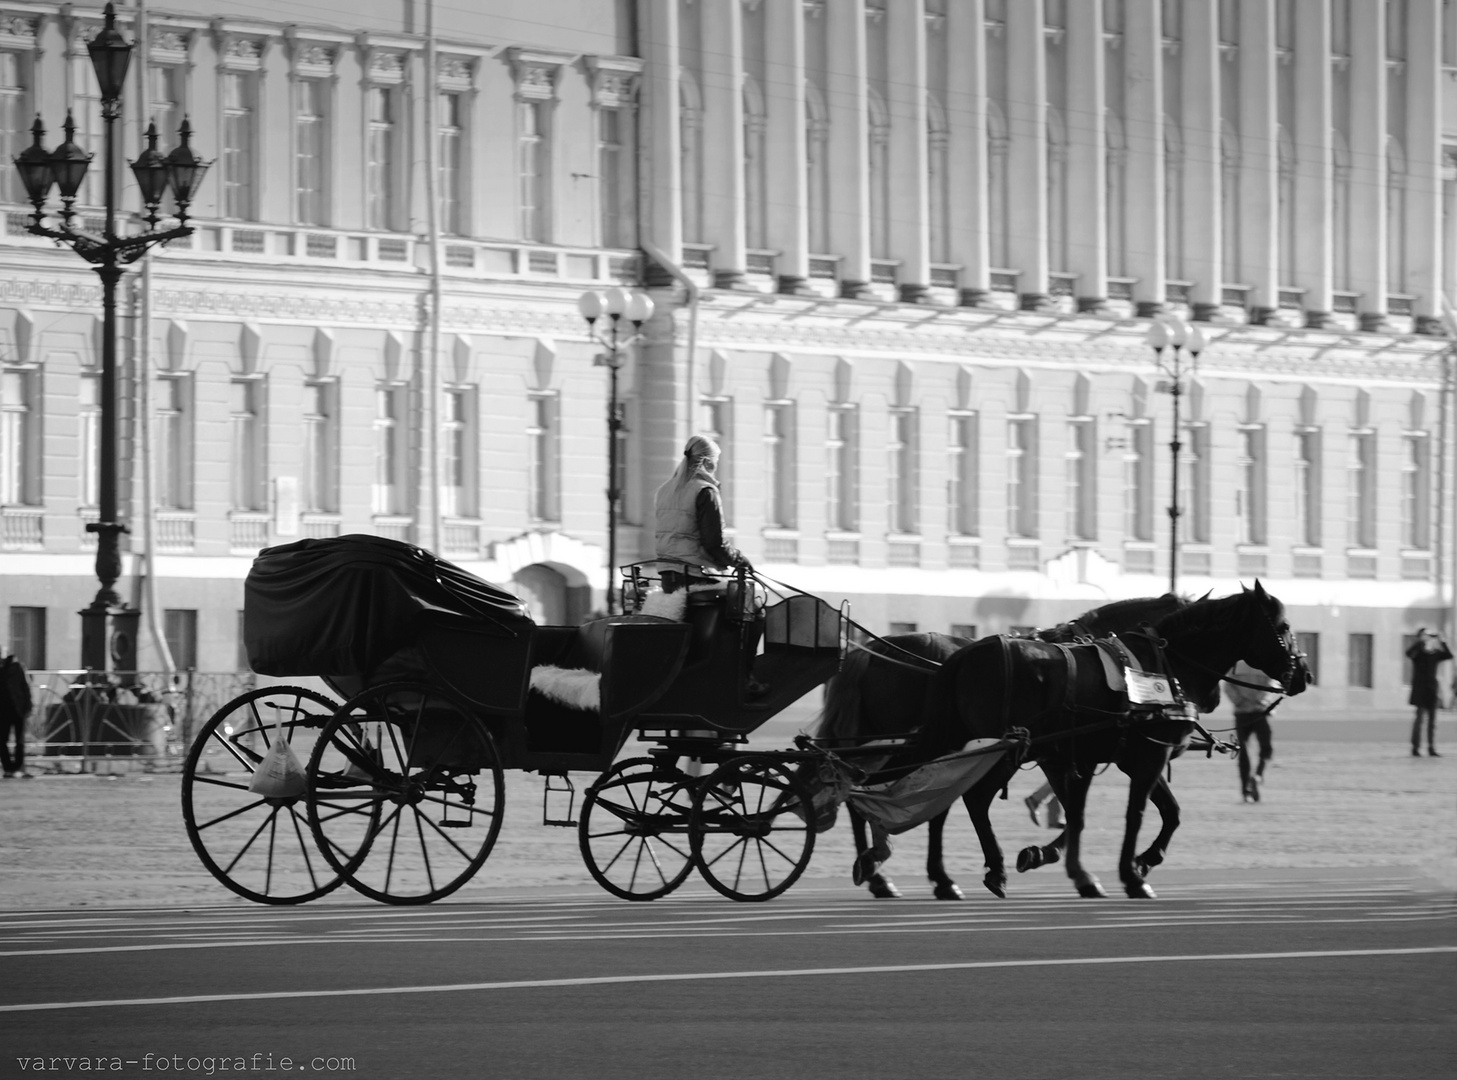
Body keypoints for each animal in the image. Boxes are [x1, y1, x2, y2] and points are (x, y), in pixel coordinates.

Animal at [815, 594, 1188, 897]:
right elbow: (1075, 810)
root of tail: (871, 651)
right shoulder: (1065, 755)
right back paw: (884, 867)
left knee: (861, 789)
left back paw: (883, 869)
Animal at [920, 585, 1311, 897]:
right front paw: (1129, 873)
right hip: (1006, 751)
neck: (1162, 663)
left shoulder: (1113, 757)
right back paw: (974, 873)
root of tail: (966, 654)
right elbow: (1132, 814)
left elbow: (1162, 813)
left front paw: (1133, 861)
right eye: (1284, 627)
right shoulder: (1146, 755)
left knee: (952, 802)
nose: (1304, 675)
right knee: (970, 799)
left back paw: (964, 875)